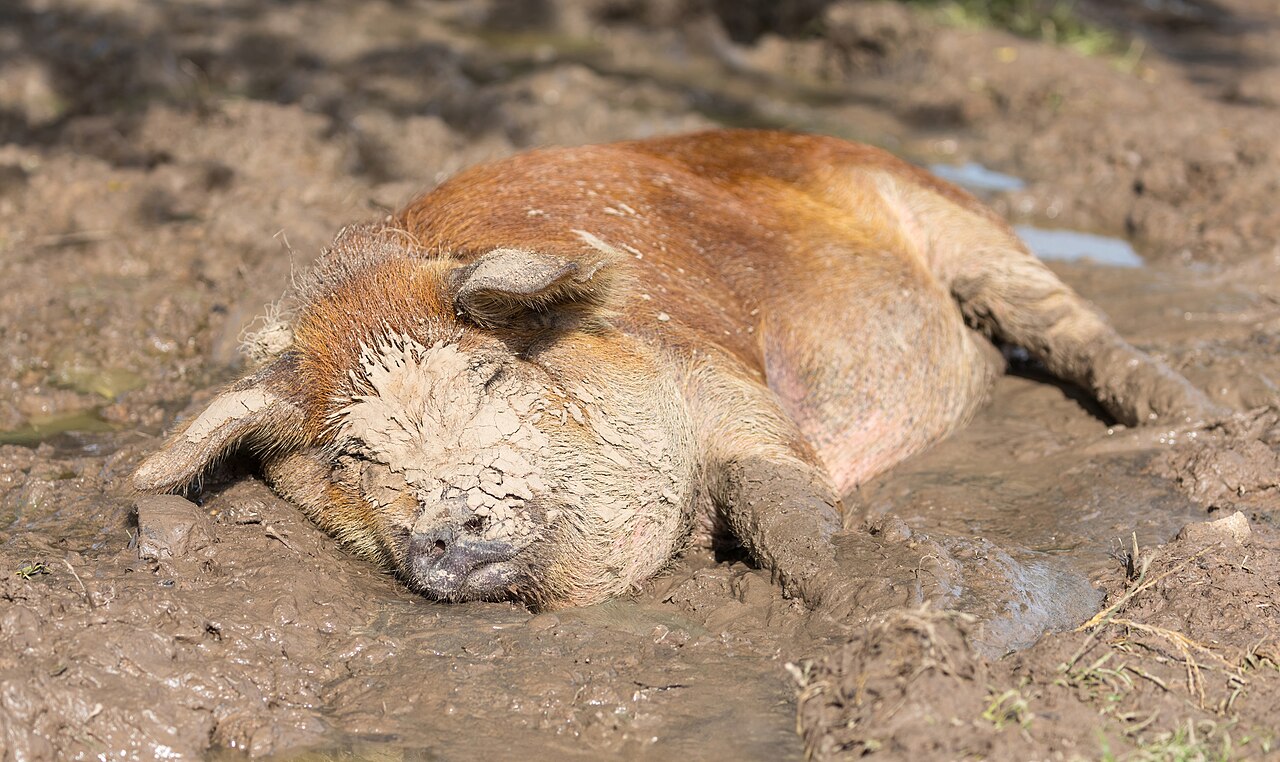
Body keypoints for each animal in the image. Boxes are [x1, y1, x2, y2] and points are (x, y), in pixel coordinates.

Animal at [133, 130, 1224, 611]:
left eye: (489, 380)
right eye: (352, 455)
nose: (445, 519)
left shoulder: (724, 384)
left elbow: (777, 499)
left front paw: (878, 596)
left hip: (964, 227)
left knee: (1079, 330)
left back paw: (1203, 428)